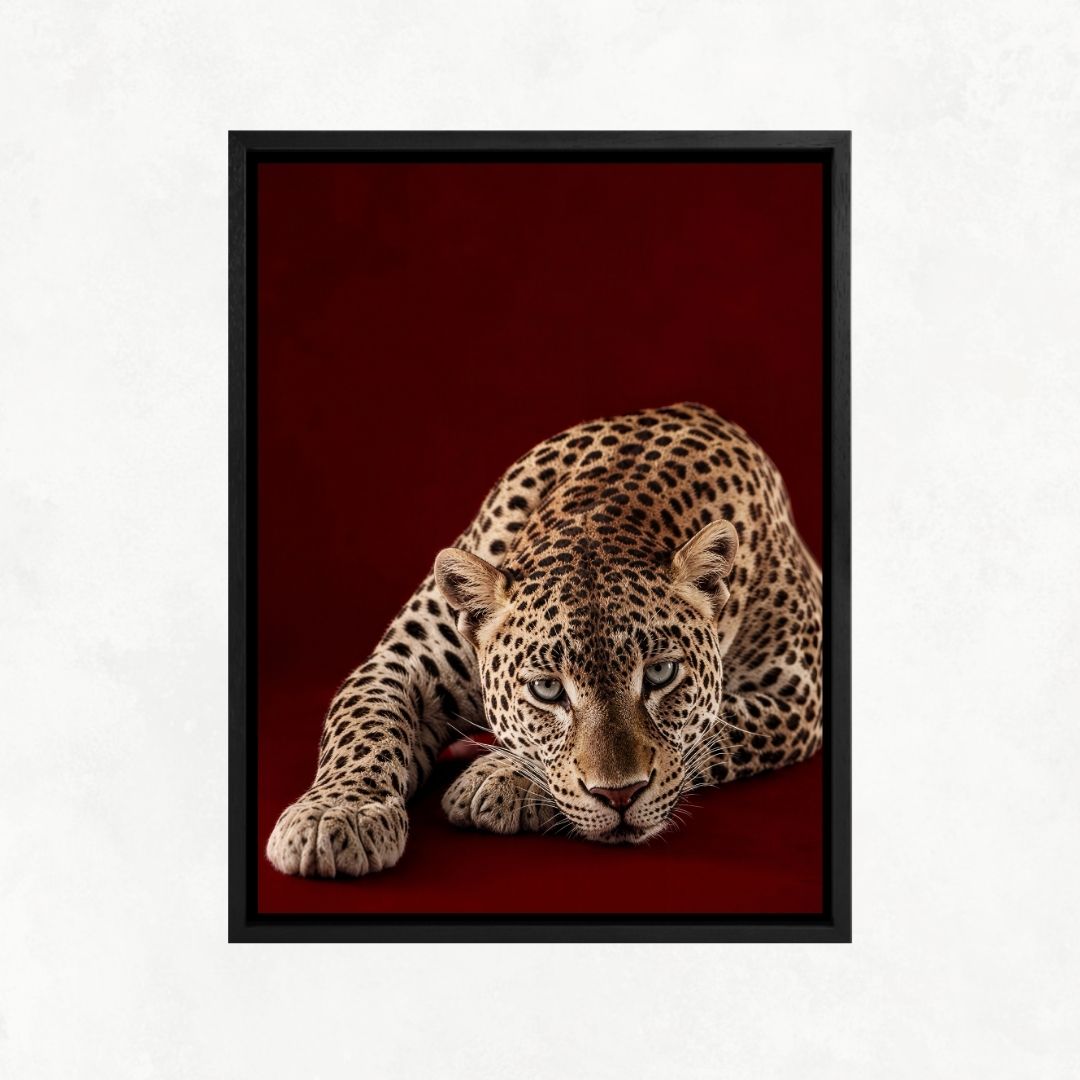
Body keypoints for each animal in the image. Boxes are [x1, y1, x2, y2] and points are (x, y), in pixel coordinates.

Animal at [266, 402, 823, 877]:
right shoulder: (403, 663)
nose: (620, 797)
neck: (606, 511)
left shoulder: (797, 694)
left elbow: (715, 729)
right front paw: (335, 816)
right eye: (547, 689)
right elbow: (363, 723)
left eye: (661, 673)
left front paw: (497, 778)